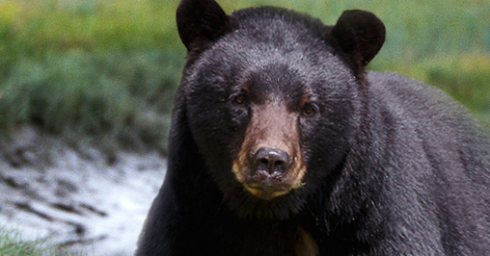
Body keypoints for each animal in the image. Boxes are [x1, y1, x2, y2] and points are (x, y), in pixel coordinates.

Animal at [136, 1, 490, 255]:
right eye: (239, 98)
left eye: (309, 108)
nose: (271, 160)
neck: (274, 219)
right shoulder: (185, 222)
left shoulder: (382, 217)